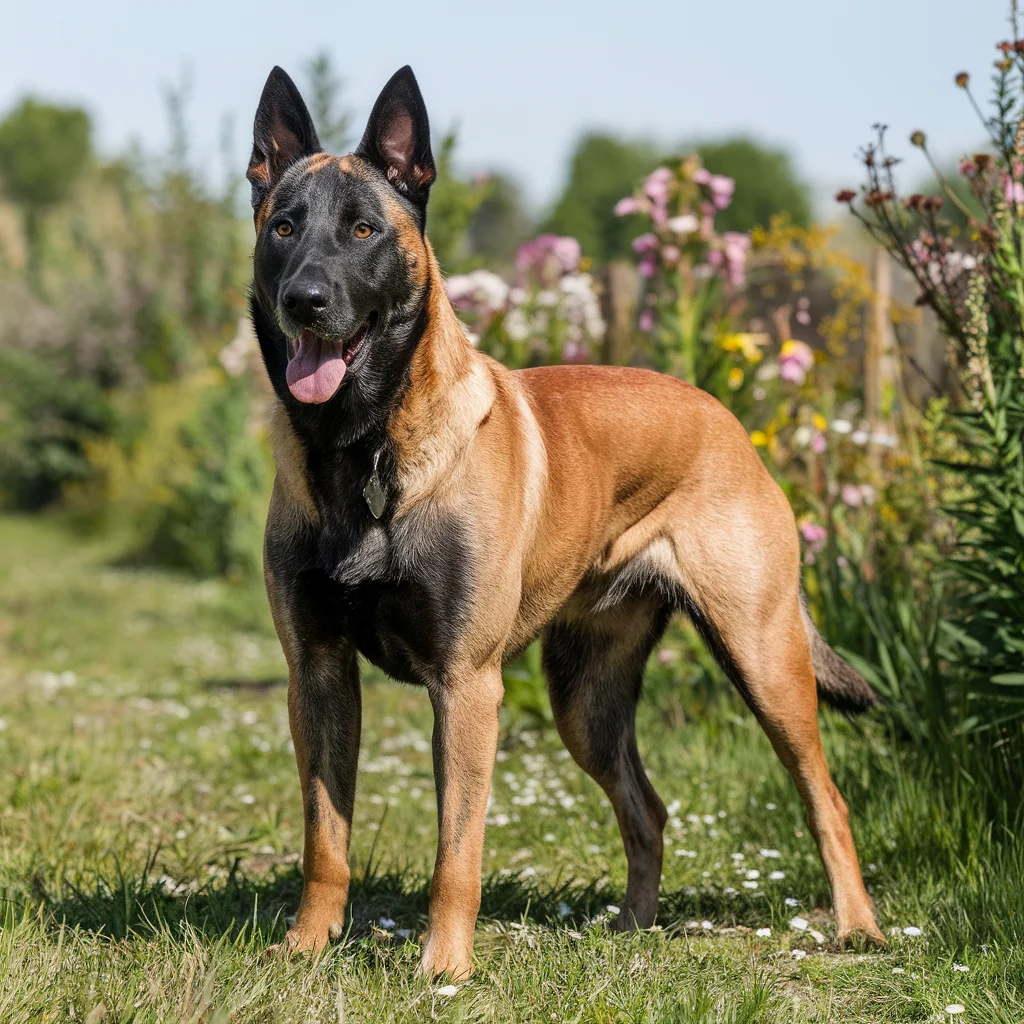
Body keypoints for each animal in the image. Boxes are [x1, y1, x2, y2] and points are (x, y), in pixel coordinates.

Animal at [245, 61, 888, 974]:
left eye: (364, 228)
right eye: (284, 227)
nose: (304, 300)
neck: (363, 447)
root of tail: (727, 419)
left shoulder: (466, 685)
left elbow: (456, 850)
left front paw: (444, 969)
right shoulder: (320, 672)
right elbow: (324, 837)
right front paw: (306, 945)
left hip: (764, 661)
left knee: (824, 797)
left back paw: (858, 928)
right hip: (585, 700)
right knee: (648, 808)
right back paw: (633, 927)